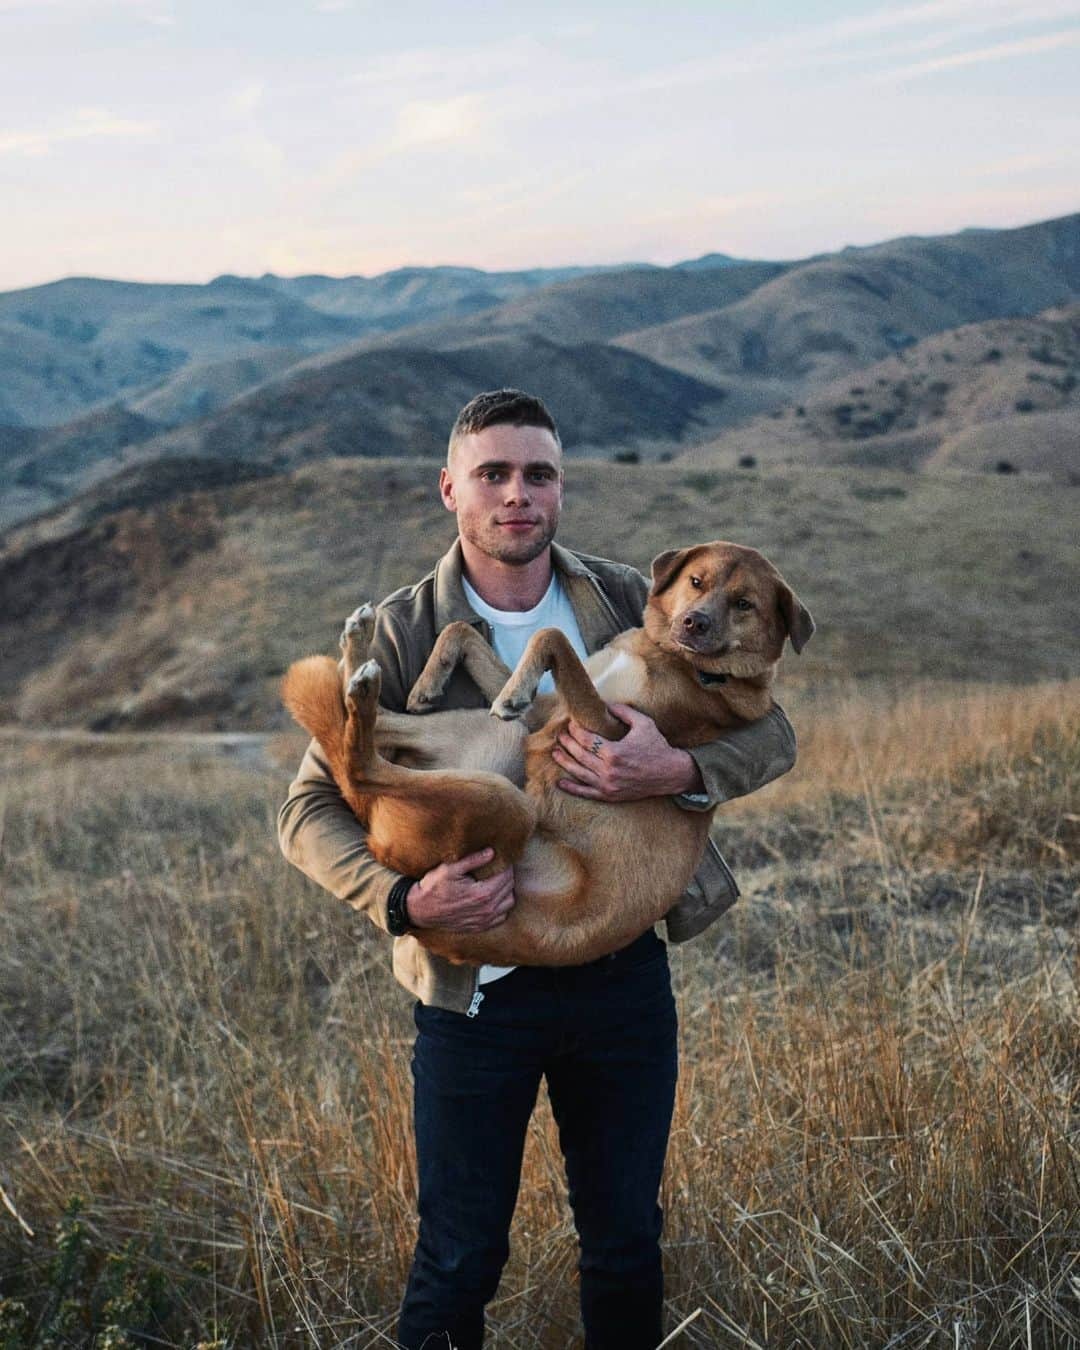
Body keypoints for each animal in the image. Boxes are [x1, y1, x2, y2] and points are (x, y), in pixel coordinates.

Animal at [278, 542, 810, 966]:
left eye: (744, 604)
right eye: (697, 581)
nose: (693, 622)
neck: (681, 662)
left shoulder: (604, 727)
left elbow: (547, 637)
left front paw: (509, 691)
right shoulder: (545, 713)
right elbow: (462, 630)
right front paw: (434, 679)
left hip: (502, 797)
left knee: (361, 766)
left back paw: (361, 683)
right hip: (492, 741)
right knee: (366, 728)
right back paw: (360, 659)